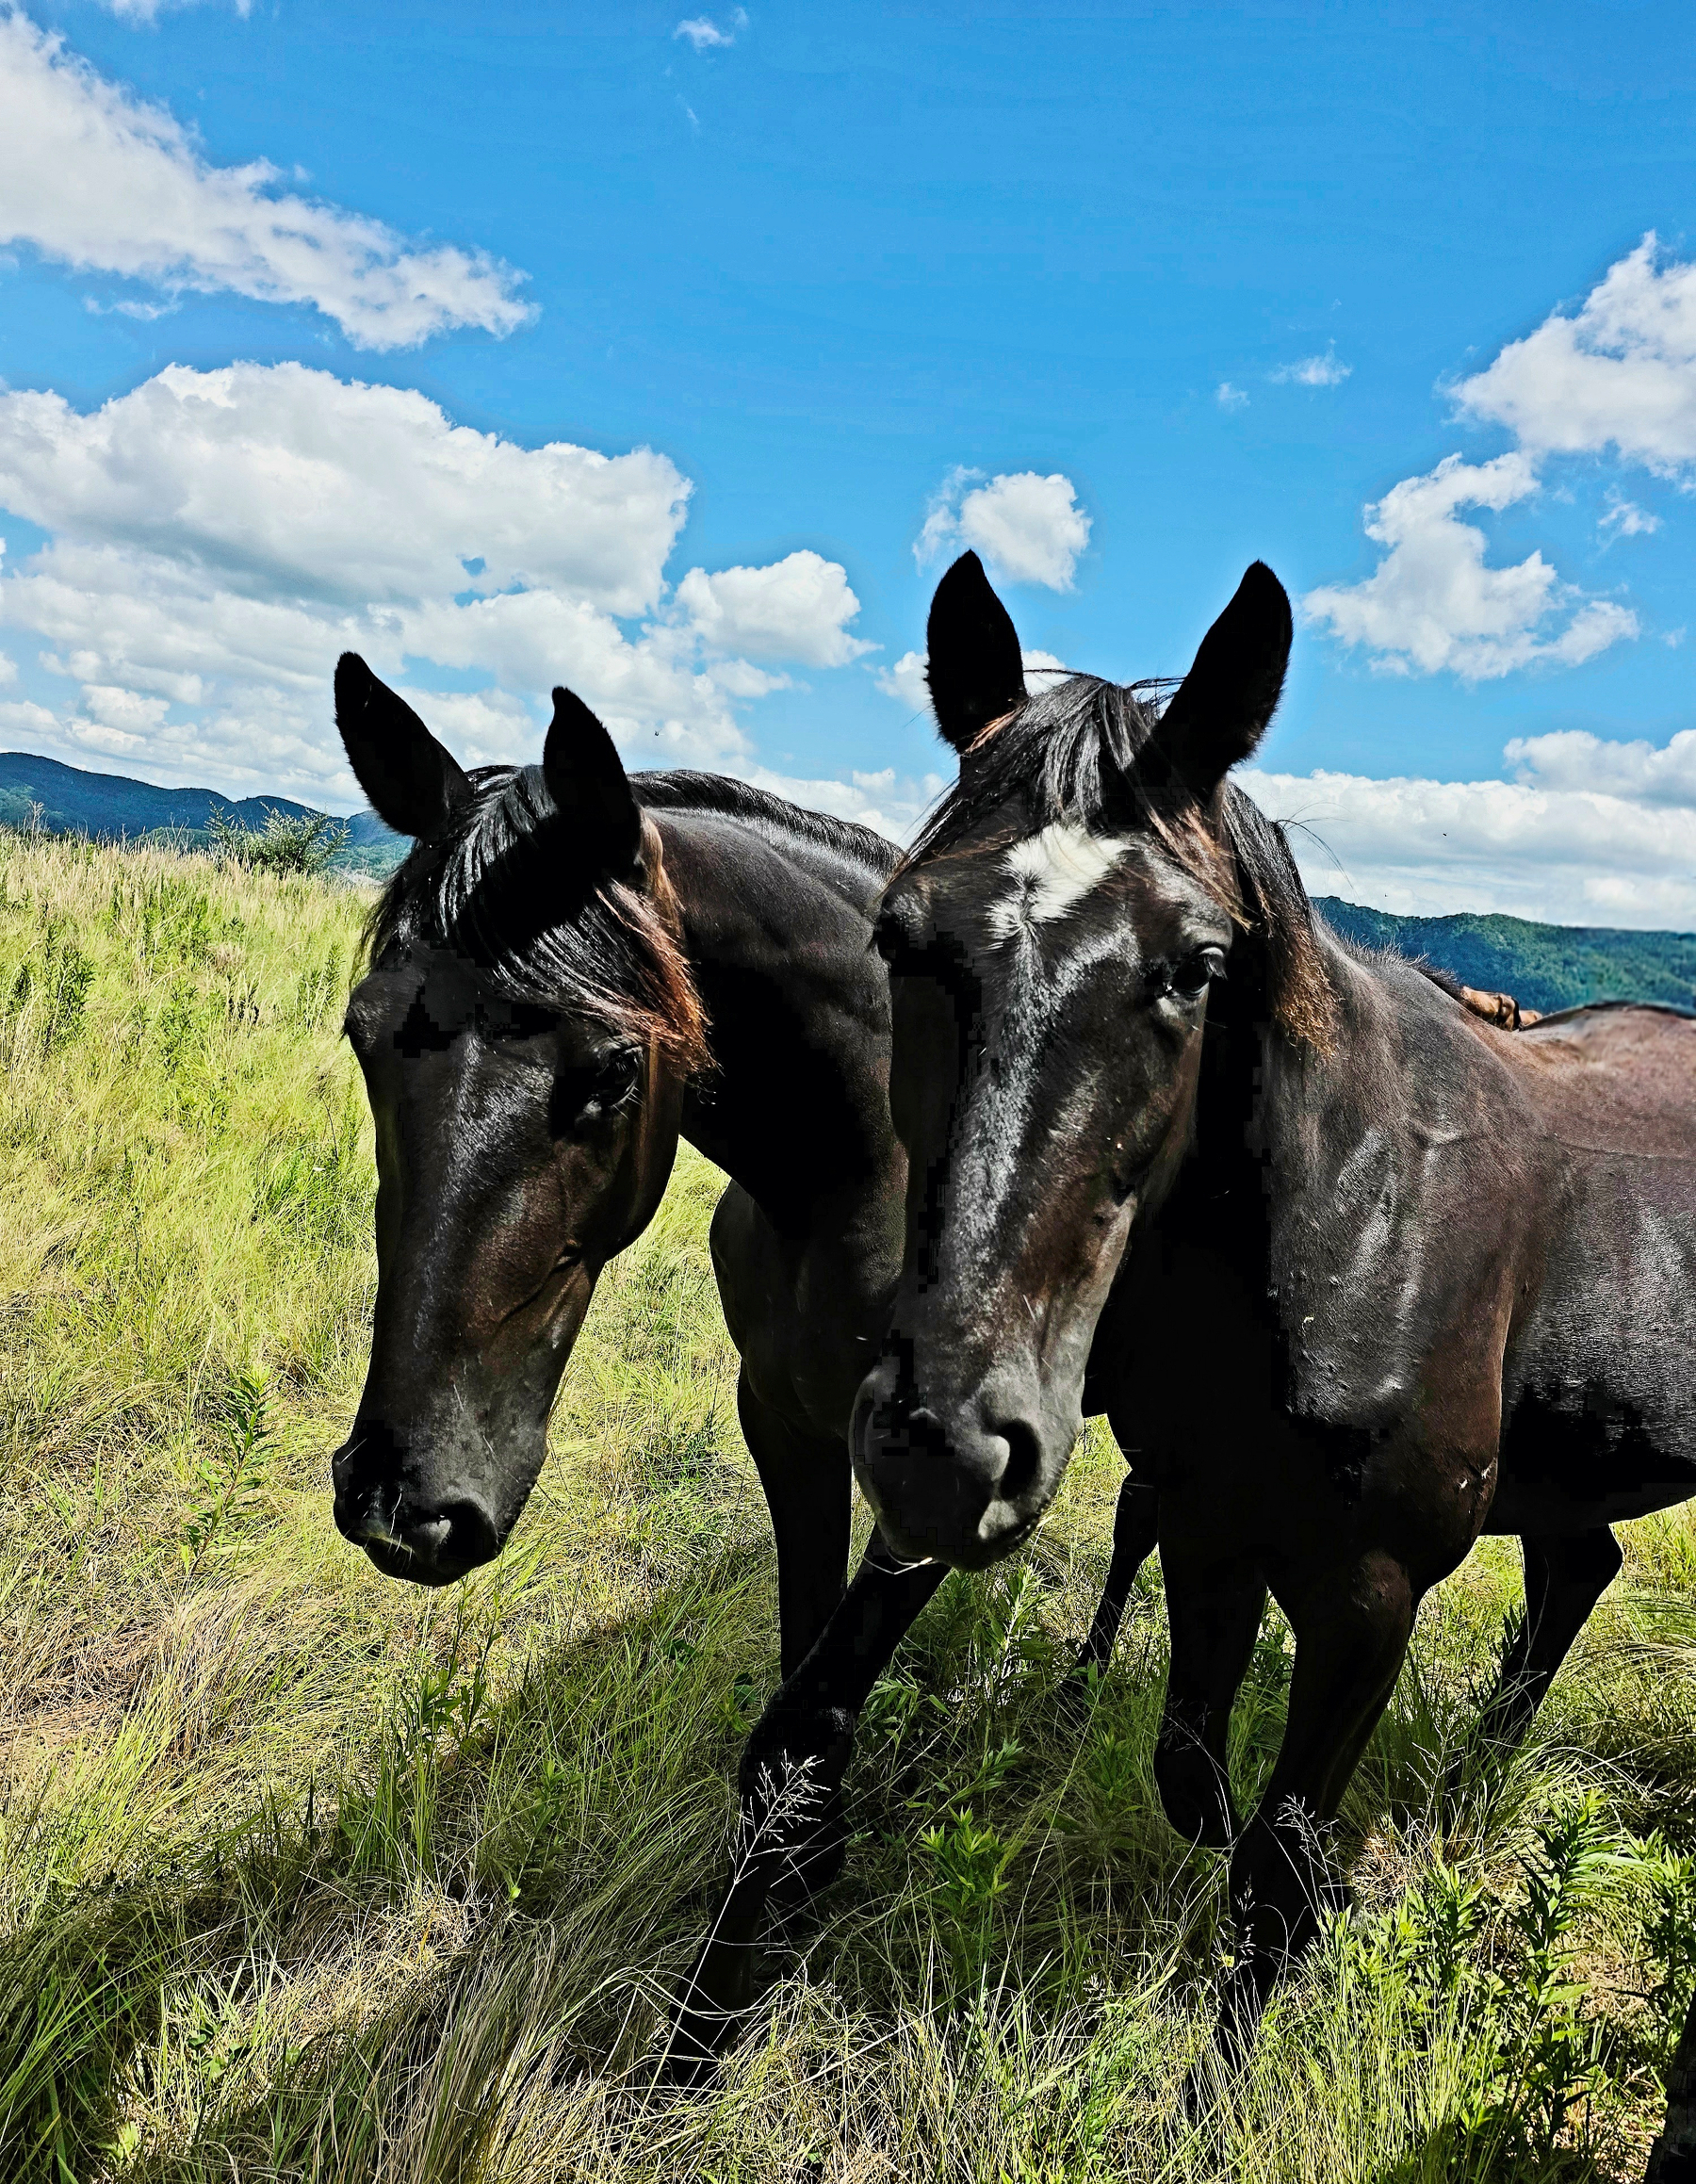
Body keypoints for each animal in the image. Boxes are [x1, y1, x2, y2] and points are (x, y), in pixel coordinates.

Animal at [679, 549, 1696, 2065]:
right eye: (898, 936)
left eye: (1195, 966)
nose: (948, 1448)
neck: (1341, 1230)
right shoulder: (1215, 1526)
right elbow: (1195, 1776)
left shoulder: (1368, 1595)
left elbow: (1274, 1866)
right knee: (1577, 1566)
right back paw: (1473, 1768)